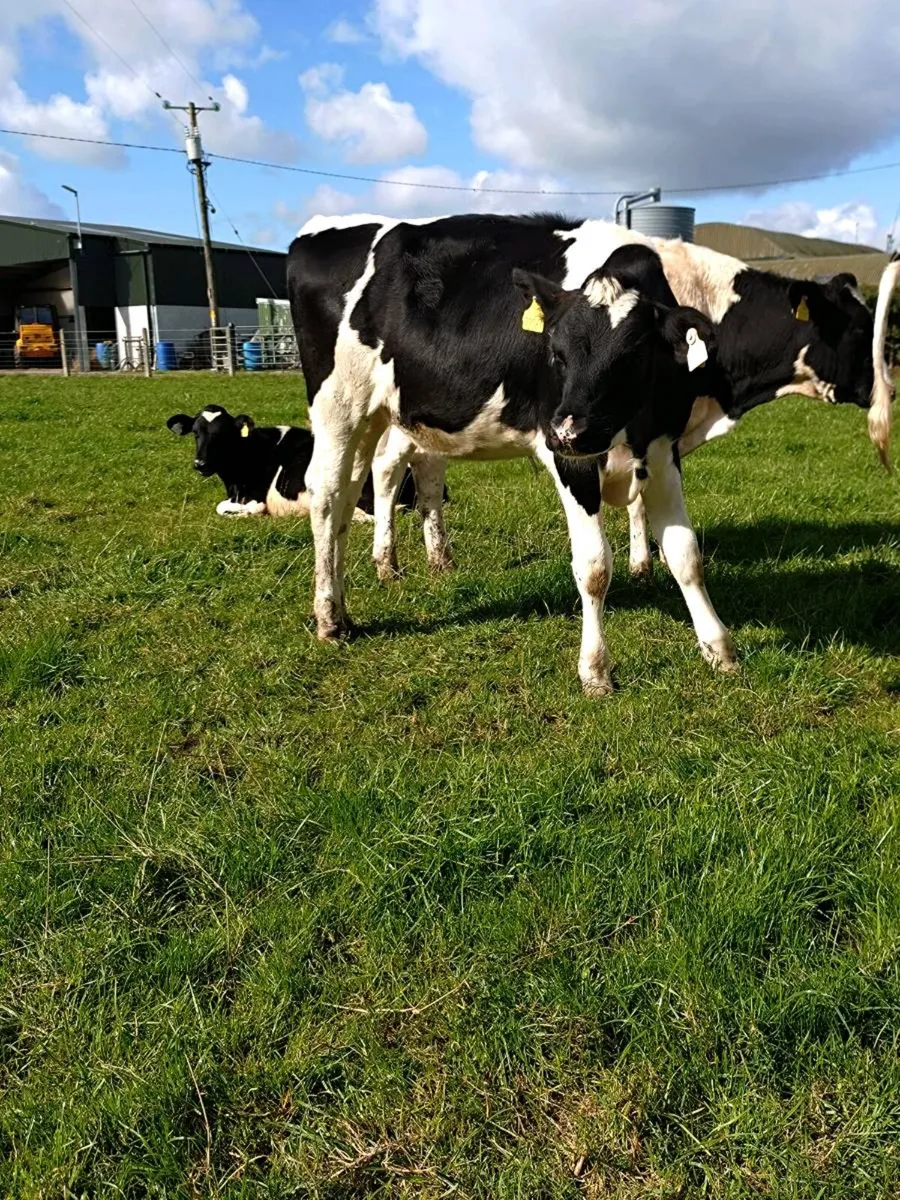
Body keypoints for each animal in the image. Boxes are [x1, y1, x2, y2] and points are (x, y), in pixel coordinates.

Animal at [290, 212, 897, 694]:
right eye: (555, 352)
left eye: (634, 354)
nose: (887, 385)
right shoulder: (571, 457)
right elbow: (594, 567)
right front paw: (596, 669)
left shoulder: (660, 446)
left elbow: (686, 552)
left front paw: (718, 648)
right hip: (339, 405)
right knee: (328, 496)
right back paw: (330, 618)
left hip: (385, 413)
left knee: (364, 492)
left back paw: (377, 585)